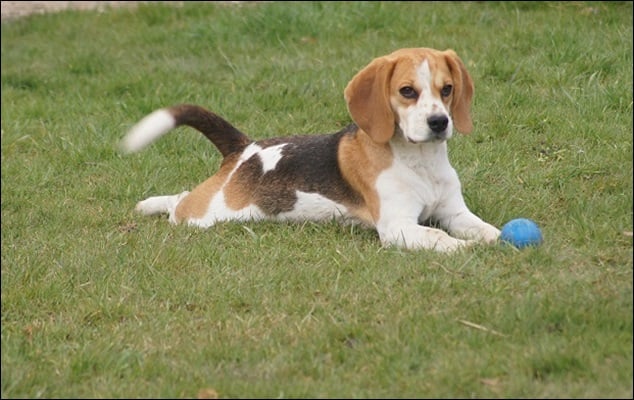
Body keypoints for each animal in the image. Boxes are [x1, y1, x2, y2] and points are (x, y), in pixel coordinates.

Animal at [119, 47, 498, 252]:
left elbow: (486, 230)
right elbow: (440, 238)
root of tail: (243, 147)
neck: (420, 161)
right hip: (207, 214)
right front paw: (467, 250)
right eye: (407, 91)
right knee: (180, 203)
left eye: (447, 89)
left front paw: (496, 241)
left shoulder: (455, 213)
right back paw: (150, 206)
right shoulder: (398, 227)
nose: (439, 122)